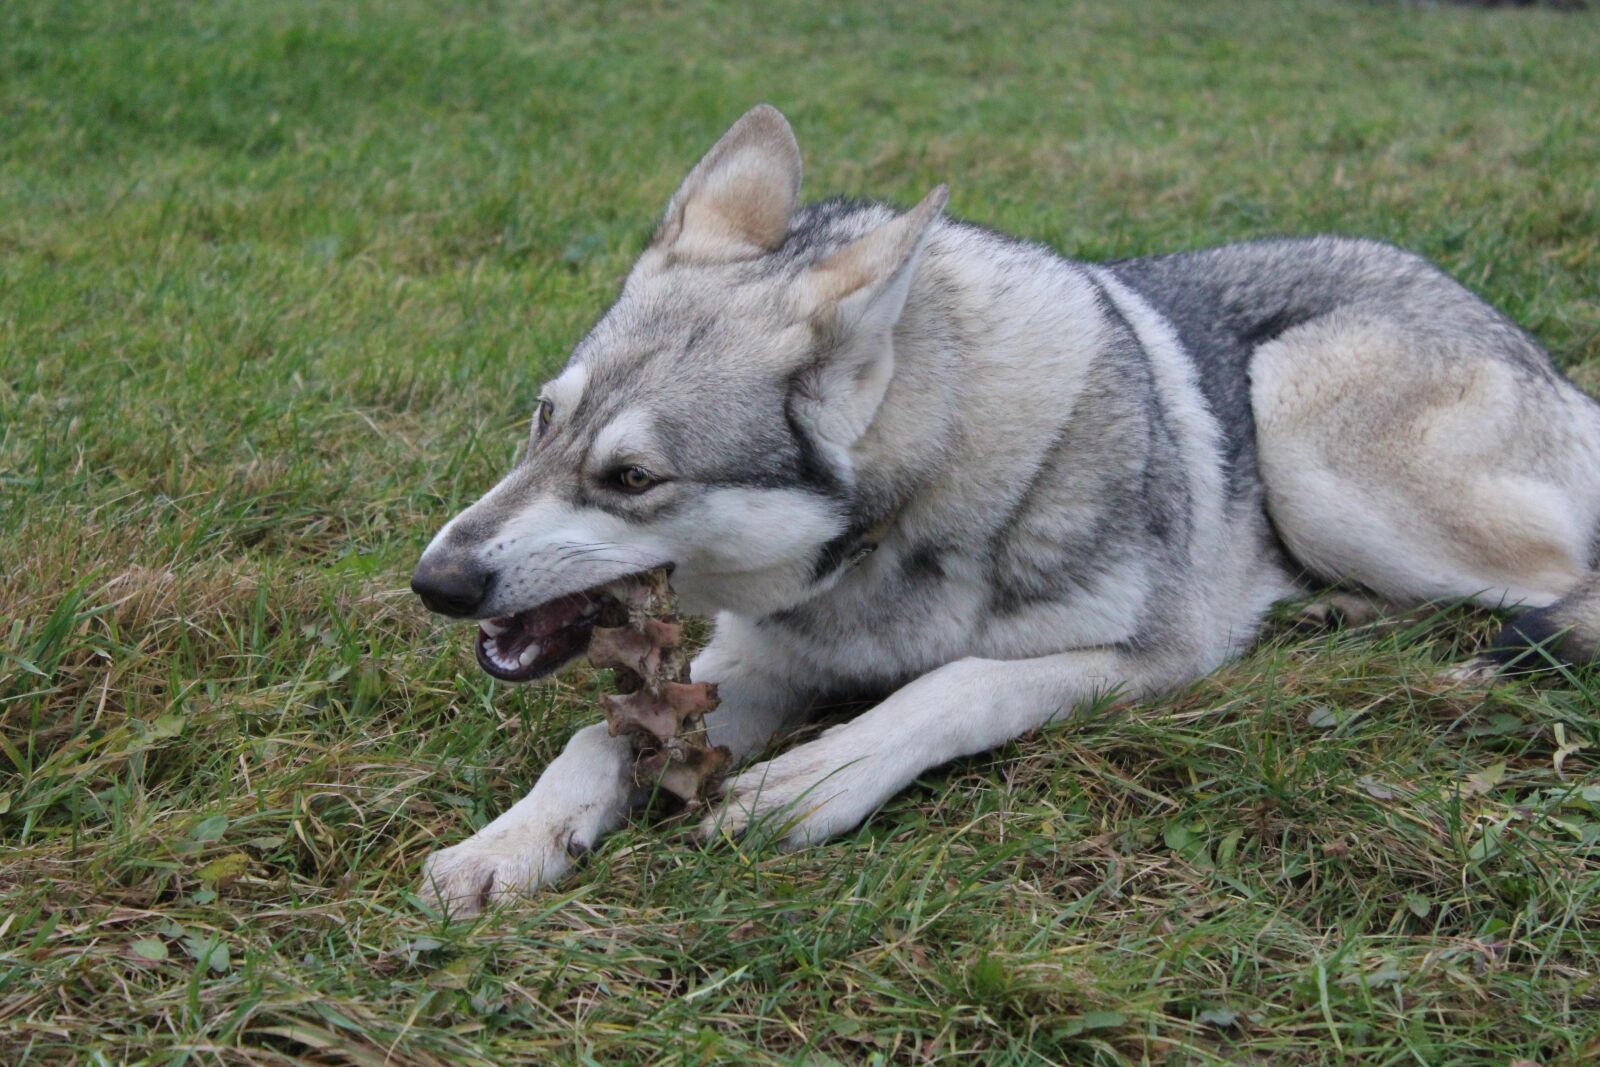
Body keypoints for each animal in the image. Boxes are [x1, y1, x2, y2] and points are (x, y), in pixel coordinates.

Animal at [410, 105, 1600, 914]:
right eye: (543, 421)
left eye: (632, 477)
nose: (436, 581)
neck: (889, 545)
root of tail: (1538, 355)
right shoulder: (755, 661)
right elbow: (595, 739)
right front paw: (508, 843)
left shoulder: (1154, 655)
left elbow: (955, 681)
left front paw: (811, 781)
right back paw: (1333, 613)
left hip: (1306, 428)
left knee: (1559, 580)